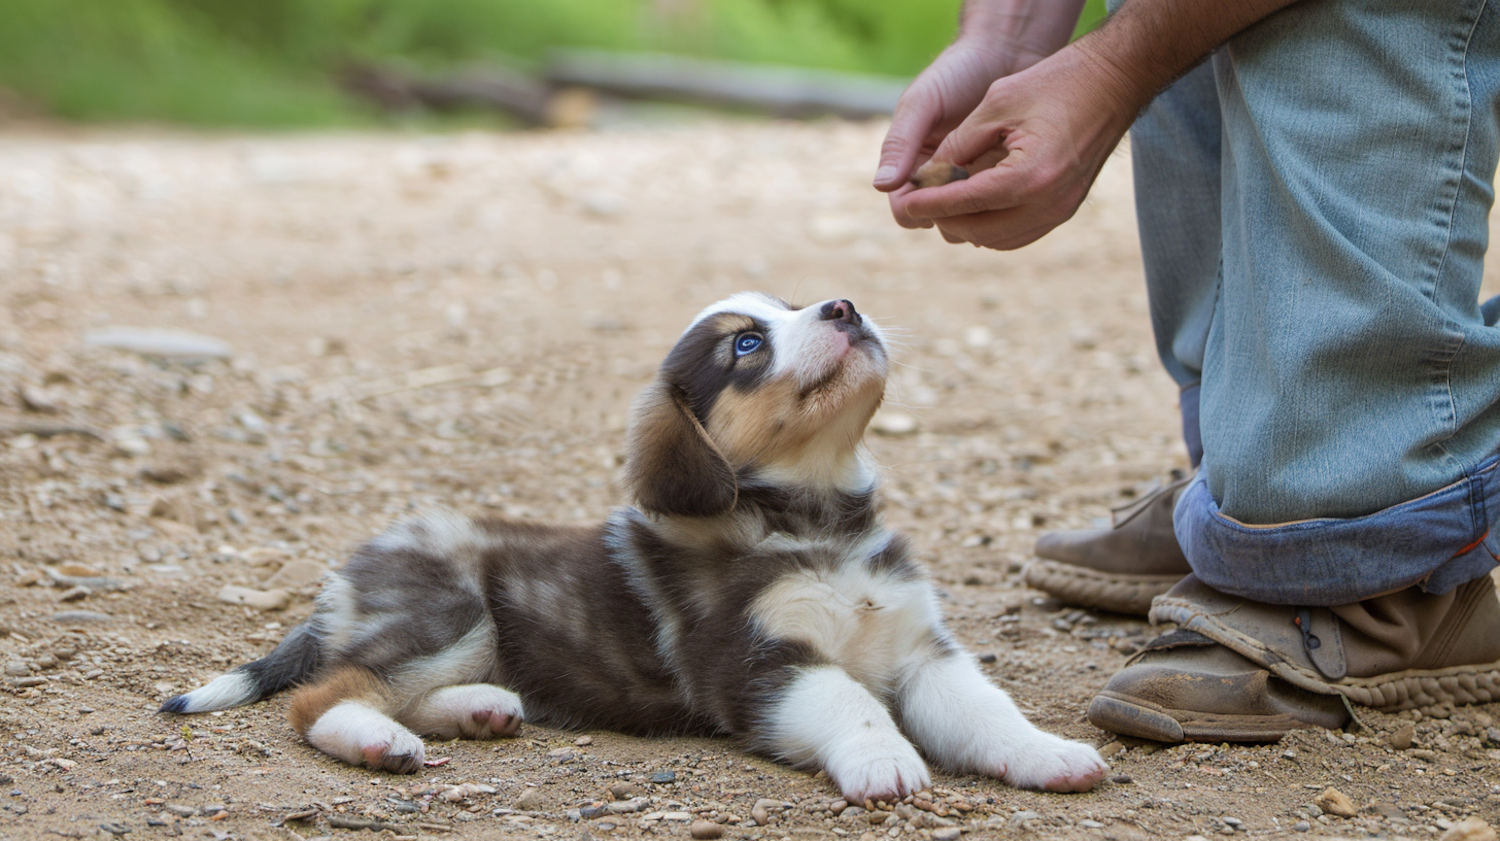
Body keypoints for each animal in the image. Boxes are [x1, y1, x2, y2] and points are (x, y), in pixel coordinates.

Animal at [164, 292, 1110, 797]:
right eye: (746, 343)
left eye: (793, 304)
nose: (844, 304)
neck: (814, 519)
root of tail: (346, 576)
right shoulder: (759, 663)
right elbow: (852, 702)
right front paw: (884, 759)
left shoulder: (923, 649)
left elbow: (987, 710)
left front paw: (1048, 753)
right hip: (451, 609)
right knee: (323, 694)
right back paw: (379, 741)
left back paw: (479, 708)